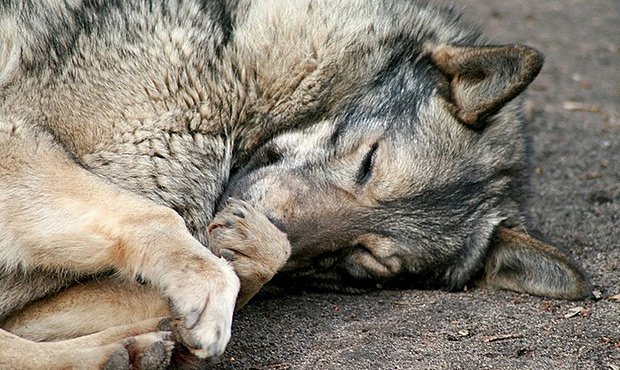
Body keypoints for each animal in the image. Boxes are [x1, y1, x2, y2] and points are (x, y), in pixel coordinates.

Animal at [0, 0, 592, 368]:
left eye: (362, 260)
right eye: (369, 162)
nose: (266, 221)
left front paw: (245, 259)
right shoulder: (16, 138)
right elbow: (156, 216)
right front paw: (211, 279)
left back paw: (128, 352)